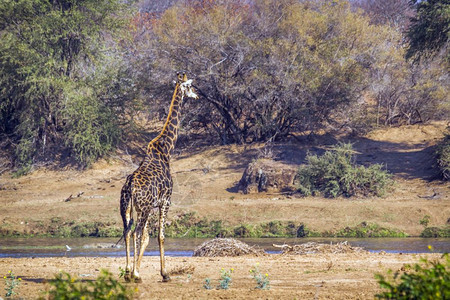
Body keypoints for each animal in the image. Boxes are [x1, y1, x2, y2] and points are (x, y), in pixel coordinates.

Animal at [120, 73, 198, 284]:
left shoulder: (151, 206)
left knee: (127, 232)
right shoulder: (166, 201)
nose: (196, 96)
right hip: (144, 208)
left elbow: (148, 238)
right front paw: (164, 274)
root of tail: (130, 186)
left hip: (127, 208)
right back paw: (134, 274)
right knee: (136, 232)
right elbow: (160, 236)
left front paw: (137, 270)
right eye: (190, 86)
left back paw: (128, 272)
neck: (166, 150)